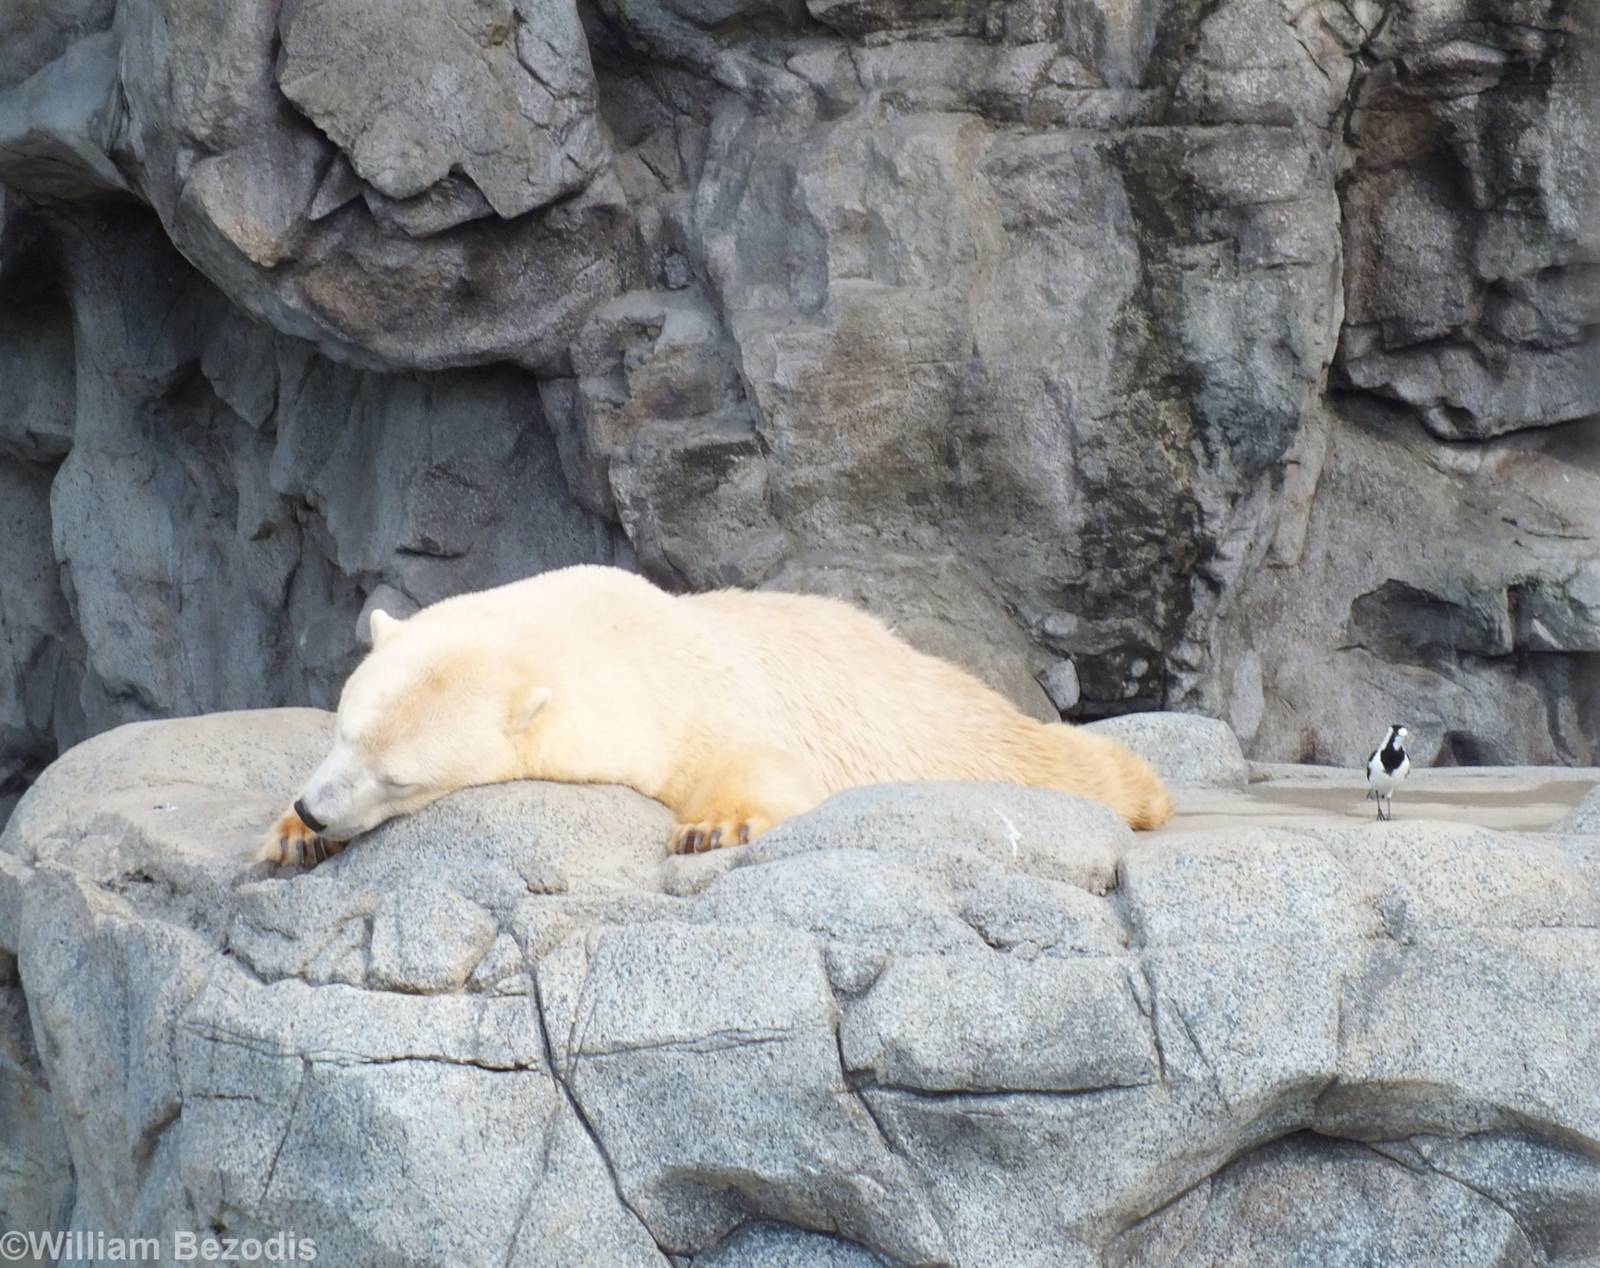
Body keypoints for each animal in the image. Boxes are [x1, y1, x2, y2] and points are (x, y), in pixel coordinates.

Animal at [261, 565, 1173, 866]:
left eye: (399, 779)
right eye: (343, 730)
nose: (317, 807)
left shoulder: (696, 695)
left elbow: (763, 765)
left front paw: (710, 828)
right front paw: (290, 834)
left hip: (936, 715)